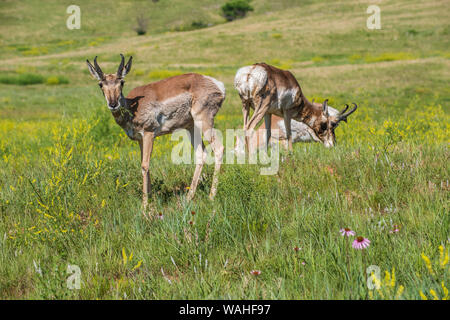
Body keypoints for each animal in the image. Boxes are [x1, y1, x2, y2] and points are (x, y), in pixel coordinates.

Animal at [86, 54, 225, 212]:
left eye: (121, 82)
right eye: (100, 84)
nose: (113, 104)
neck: (132, 107)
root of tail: (215, 83)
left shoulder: (148, 133)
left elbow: (145, 165)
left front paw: (144, 205)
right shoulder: (140, 139)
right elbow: (144, 164)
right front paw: (150, 199)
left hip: (204, 122)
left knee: (219, 148)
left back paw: (211, 197)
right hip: (191, 127)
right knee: (201, 153)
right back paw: (189, 197)